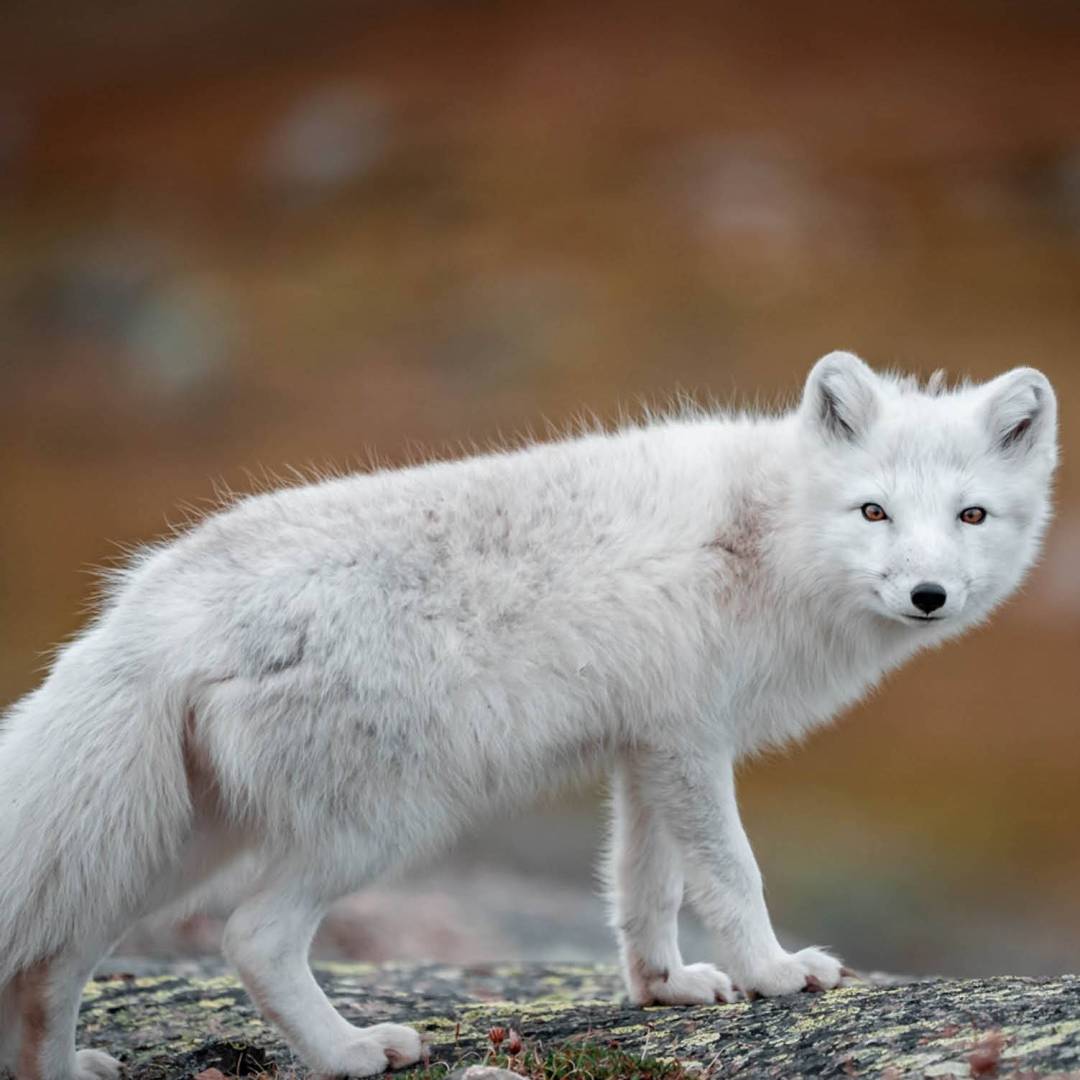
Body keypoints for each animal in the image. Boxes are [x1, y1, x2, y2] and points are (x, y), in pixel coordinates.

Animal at [0, 351, 1059, 1079]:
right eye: (874, 512)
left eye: (970, 516)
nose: (928, 595)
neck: (766, 535)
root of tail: (157, 606)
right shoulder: (688, 740)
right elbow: (731, 875)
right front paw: (770, 972)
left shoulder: (649, 746)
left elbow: (644, 887)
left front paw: (665, 988)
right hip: (377, 823)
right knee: (250, 939)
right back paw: (351, 1052)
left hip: (171, 841)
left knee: (52, 963)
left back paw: (62, 1069)